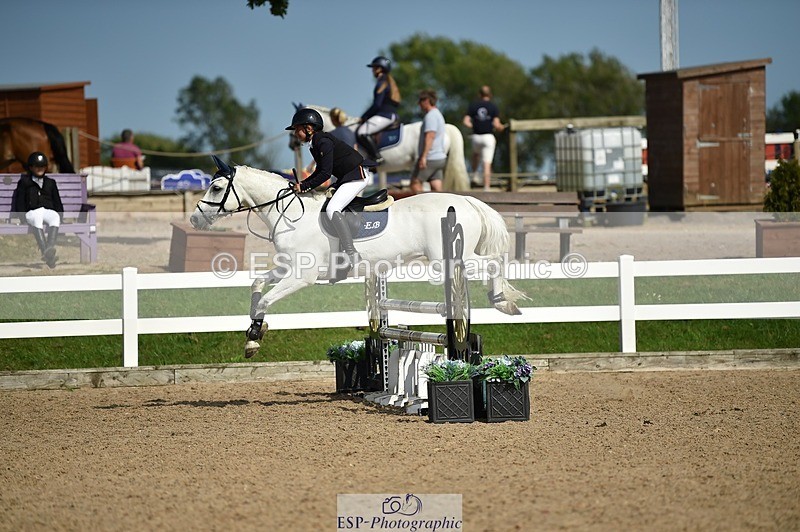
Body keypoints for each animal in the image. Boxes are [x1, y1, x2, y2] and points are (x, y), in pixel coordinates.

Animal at [190, 156, 527, 358]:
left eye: (216, 187)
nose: (194, 220)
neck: (290, 214)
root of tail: (467, 200)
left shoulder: (301, 277)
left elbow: (265, 300)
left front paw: (253, 339)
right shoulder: (288, 269)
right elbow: (258, 286)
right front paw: (254, 332)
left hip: (452, 258)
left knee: (492, 263)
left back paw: (502, 301)